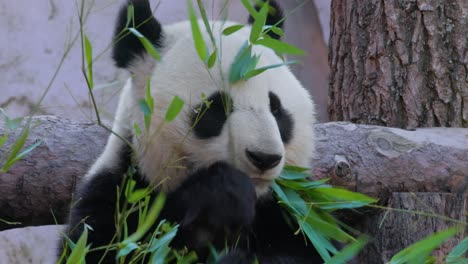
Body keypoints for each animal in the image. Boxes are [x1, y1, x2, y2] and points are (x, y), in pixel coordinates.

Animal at [60, 0, 320, 262]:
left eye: (275, 108)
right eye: (216, 108)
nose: (264, 158)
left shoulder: (293, 208)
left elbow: (306, 248)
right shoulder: (116, 191)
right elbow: (104, 247)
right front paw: (223, 193)